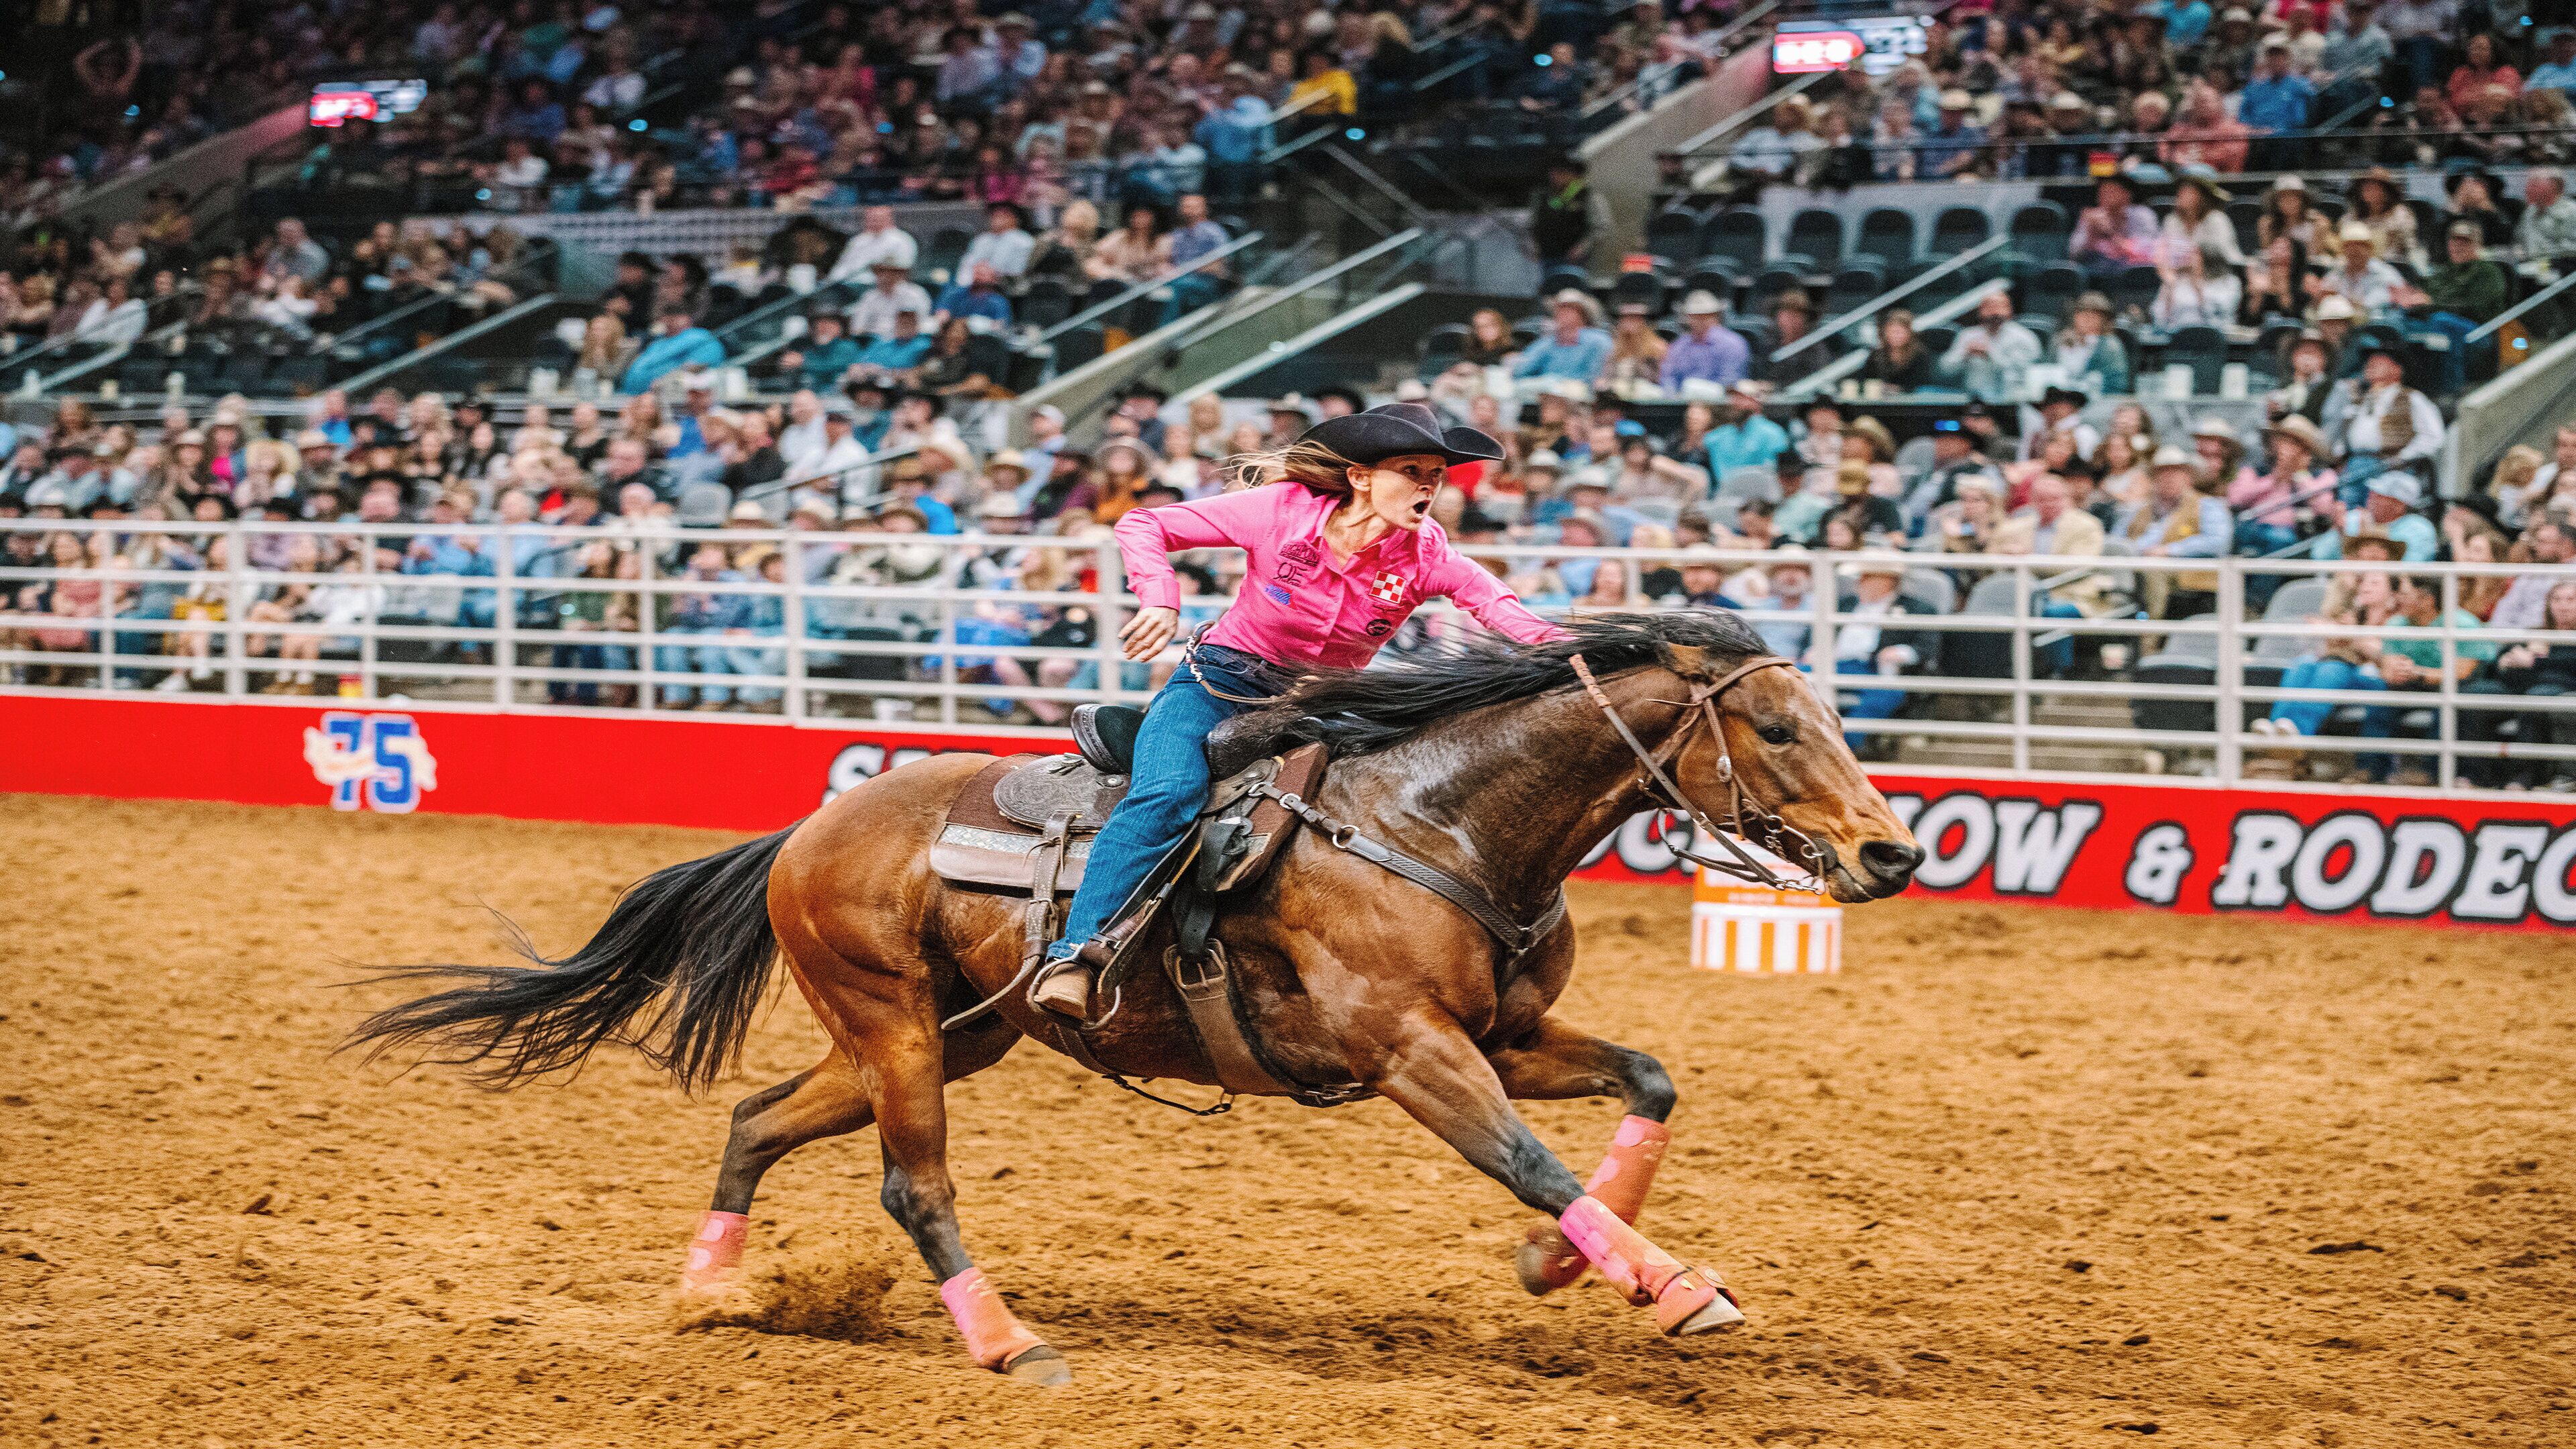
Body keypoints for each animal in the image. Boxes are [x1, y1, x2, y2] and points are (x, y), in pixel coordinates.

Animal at [347, 612, 1923, 1386]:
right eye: (1774, 725)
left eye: (1837, 717)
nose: (1893, 852)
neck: (1437, 824)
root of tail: (808, 827)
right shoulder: (1414, 1054)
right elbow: (1531, 1164)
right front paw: (1677, 1290)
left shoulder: (1511, 1037)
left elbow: (1647, 1080)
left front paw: (1563, 1269)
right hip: (899, 1033)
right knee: (915, 1189)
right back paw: (1007, 1346)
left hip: (939, 1036)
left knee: (754, 1118)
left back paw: (714, 1294)